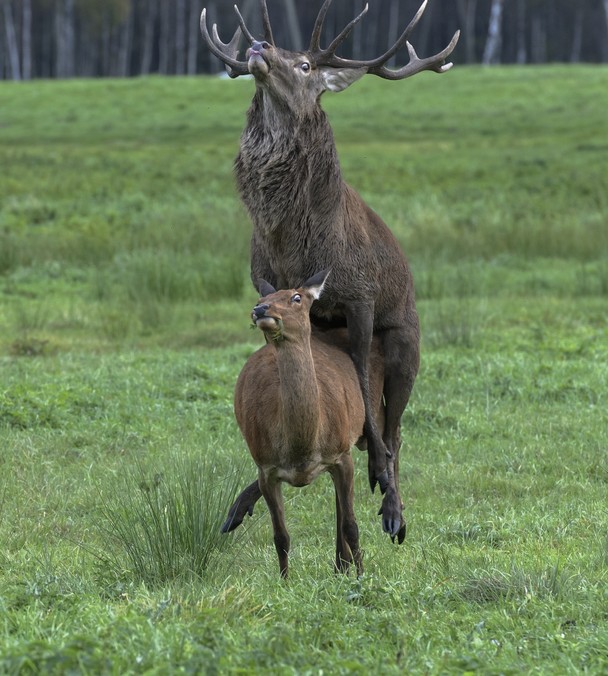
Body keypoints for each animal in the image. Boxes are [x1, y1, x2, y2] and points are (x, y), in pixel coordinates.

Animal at [201, 0, 459, 543]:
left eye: (304, 65)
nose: (258, 45)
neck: (293, 247)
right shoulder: (279, 292)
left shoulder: (359, 296)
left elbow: (359, 374)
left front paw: (380, 479)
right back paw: (245, 501)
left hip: (408, 342)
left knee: (398, 425)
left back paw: (392, 500)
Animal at [232, 270, 385, 577]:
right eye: (263, 296)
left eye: (296, 297)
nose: (260, 310)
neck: (301, 448)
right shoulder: (265, 467)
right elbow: (281, 536)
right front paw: (285, 581)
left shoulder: (341, 453)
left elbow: (352, 525)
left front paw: (362, 575)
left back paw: (344, 566)